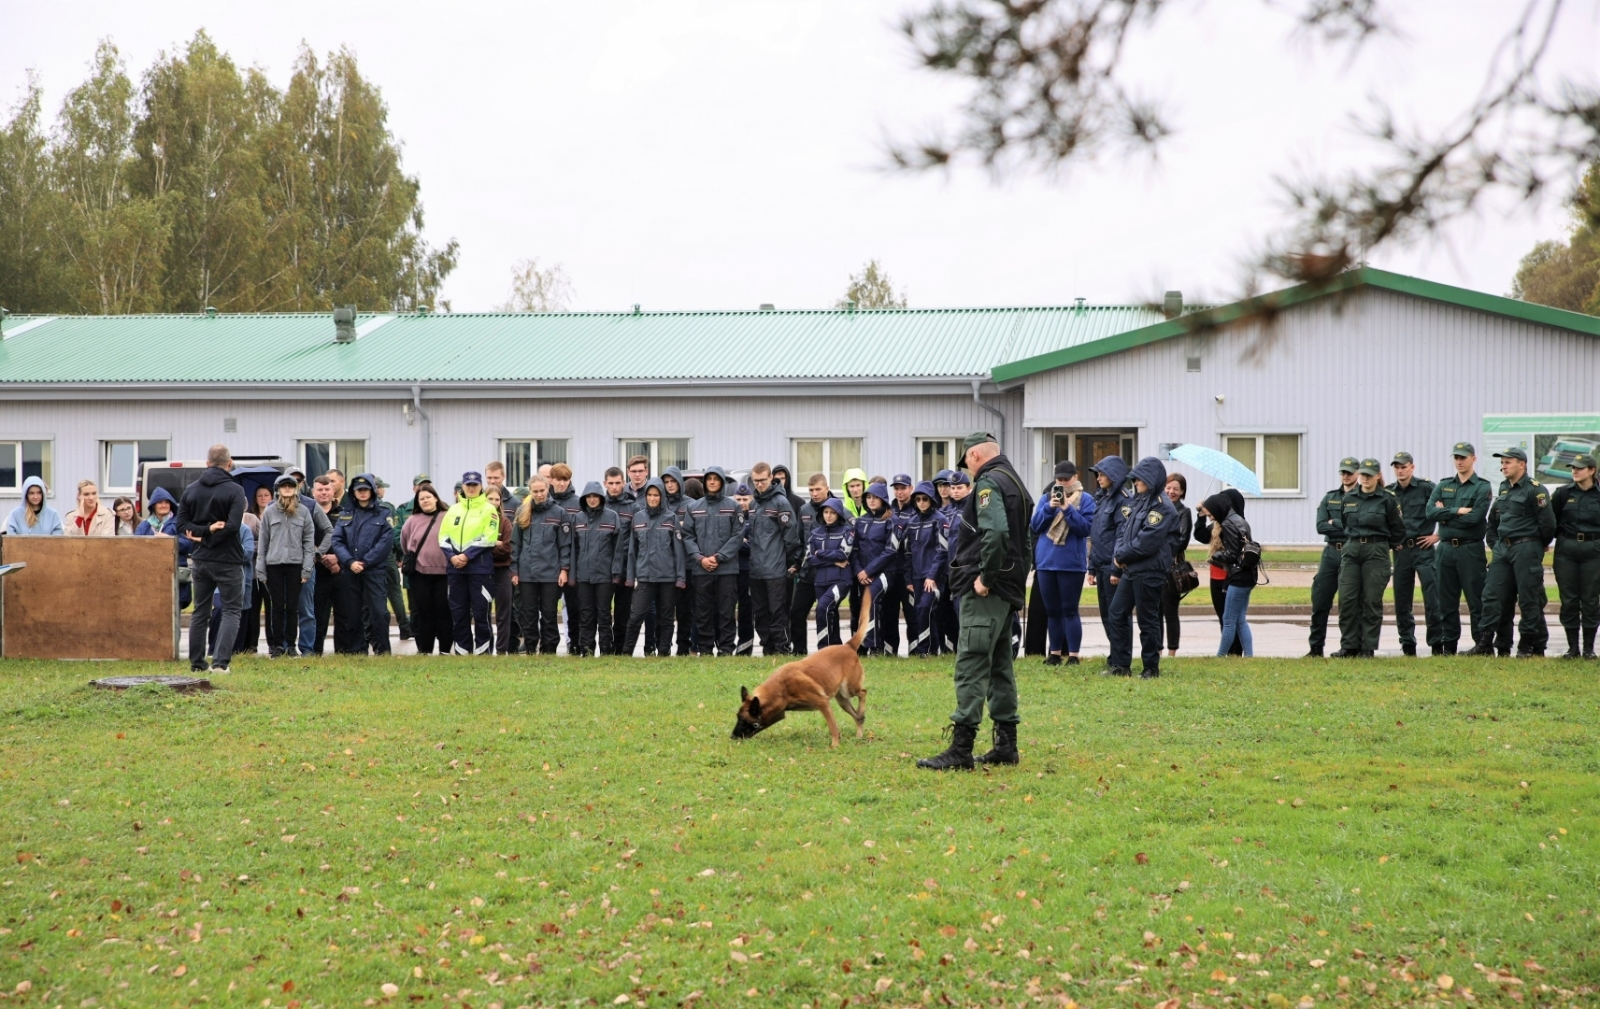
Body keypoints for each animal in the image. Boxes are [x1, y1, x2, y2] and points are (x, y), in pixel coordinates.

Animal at [732, 588, 876, 745]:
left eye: (743, 720)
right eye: (737, 717)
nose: (732, 737)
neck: (782, 688)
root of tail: (848, 646)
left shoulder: (823, 703)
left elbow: (833, 727)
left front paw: (835, 745)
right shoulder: (779, 712)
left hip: (849, 689)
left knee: (863, 693)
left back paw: (861, 714)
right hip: (842, 699)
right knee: (857, 716)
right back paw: (859, 732)